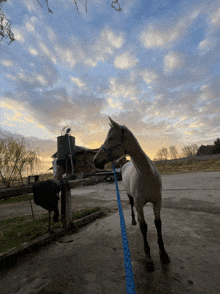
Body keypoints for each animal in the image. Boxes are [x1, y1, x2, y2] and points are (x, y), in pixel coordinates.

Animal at [93, 117, 170, 272]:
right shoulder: (140, 203)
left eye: (110, 137)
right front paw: (149, 259)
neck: (146, 174)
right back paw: (134, 220)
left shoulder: (157, 201)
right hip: (130, 196)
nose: (95, 161)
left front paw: (163, 254)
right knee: (131, 206)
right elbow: (144, 227)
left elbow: (158, 224)